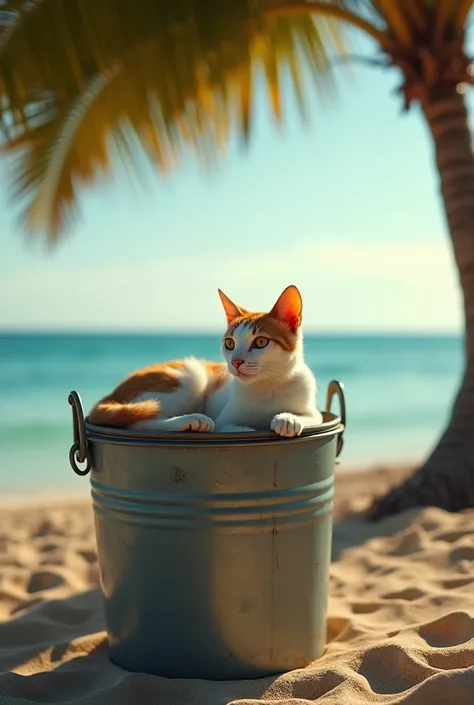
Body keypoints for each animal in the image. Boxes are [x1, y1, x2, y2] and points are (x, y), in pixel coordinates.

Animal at [88, 286, 322, 434]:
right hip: (191, 378)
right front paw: (248, 427)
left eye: (261, 342)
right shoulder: (223, 421)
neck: (269, 384)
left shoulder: (314, 413)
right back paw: (192, 421)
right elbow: (229, 428)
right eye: (230, 343)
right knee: (139, 422)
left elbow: (311, 417)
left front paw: (288, 419)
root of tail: (111, 395)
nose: (236, 362)